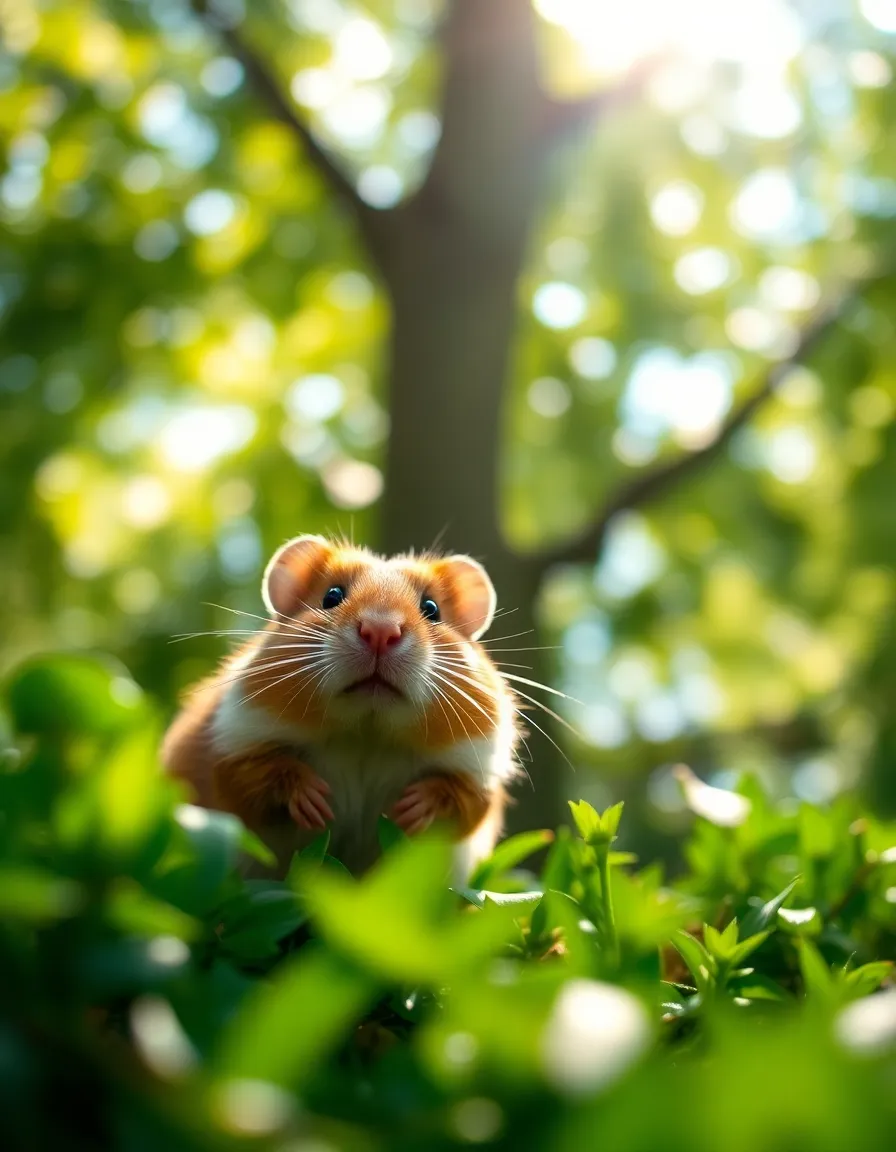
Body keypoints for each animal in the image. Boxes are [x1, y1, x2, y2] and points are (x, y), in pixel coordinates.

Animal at [162, 535, 521, 878]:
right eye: (331, 596)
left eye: (432, 609)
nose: (379, 630)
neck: (365, 734)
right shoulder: (232, 745)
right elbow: (260, 774)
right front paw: (316, 802)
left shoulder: (479, 774)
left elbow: (463, 802)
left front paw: (409, 810)